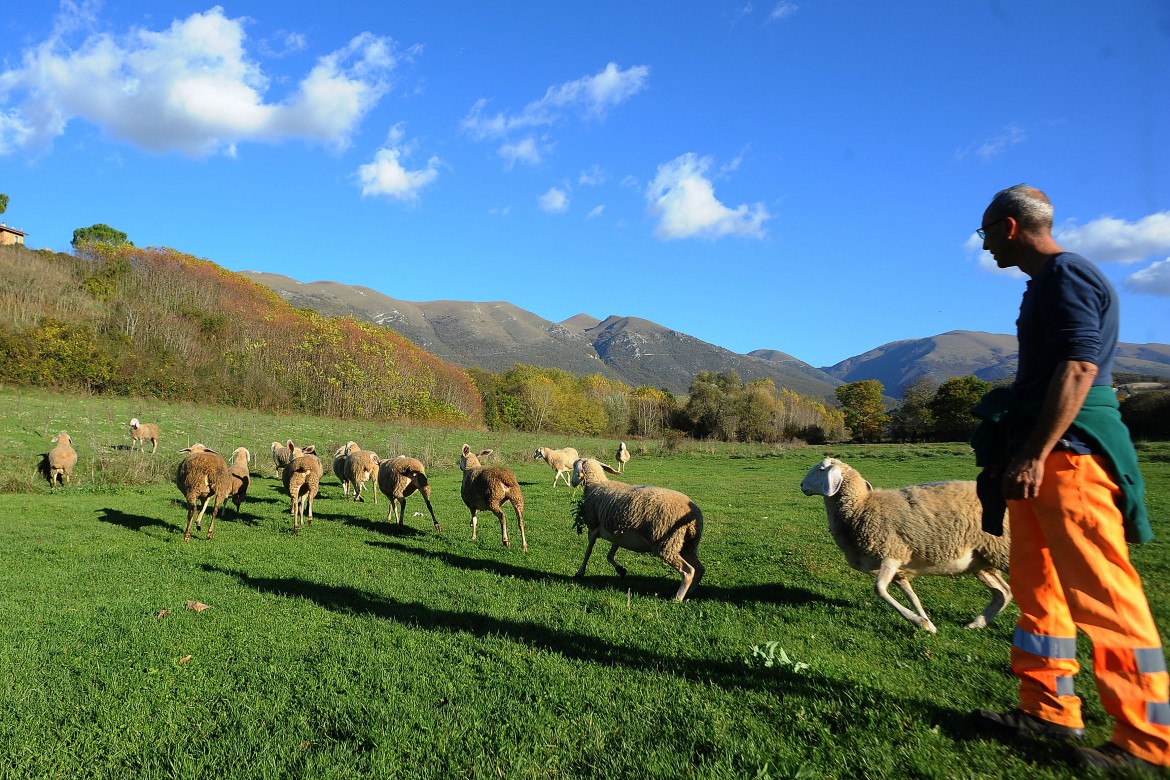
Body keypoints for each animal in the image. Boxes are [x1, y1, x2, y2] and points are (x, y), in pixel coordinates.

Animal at [568, 453, 702, 603]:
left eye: (574, 465)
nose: (573, 482)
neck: (596, 485)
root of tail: (695, 518)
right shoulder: (617, 531)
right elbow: (610, 555)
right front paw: (621, 570)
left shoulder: (593, 527)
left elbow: (588, 552)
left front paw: (580, 572)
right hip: (687, 545)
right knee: (700, 568)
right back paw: (690, 592)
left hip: (666, 544)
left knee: (688, 571)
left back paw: (678, 598)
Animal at [800, 458, 1010, 636]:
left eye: (821, 469)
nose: (802, 485)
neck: (861, 509)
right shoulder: (900, 570)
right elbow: (912, 596)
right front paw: (928, 623)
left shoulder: (891, 554)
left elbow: (879, 589)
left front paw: (920, 622)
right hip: (983, 560)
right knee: (1003, 593)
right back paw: (977, 623)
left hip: (1002, 551)